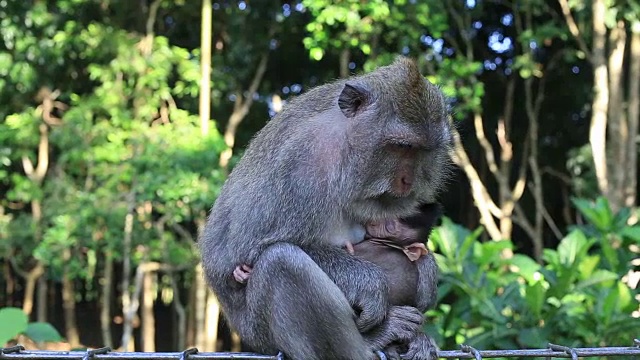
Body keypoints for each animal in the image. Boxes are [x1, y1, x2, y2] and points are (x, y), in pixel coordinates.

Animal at [200, 57, 450, 358]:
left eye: (425, 151)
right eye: (402, 146)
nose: (407, 181)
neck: (344, 147)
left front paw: (427, 268)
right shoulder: (302, 165)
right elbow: (247, 252)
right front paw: (371, 284)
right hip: (258, 333)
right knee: (281, 262)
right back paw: (374, 341)